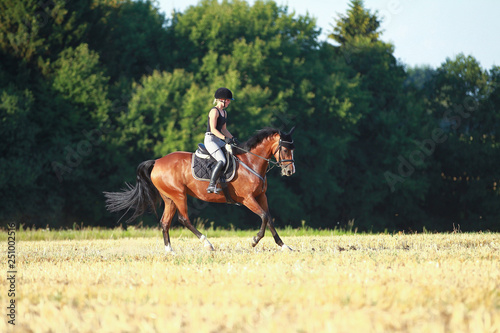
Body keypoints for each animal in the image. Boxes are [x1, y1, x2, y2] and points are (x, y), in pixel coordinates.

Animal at [103, 126, 294, 252]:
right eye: (285, 149)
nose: (290, 171)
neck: (251, 162)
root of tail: (157, 162)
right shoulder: (247, 198)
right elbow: (263, 216)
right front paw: (254, 240)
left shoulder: (261, 196)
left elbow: (269, 218)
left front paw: (284, 245)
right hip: (179, 195)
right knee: (184, 219)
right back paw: (207, 243)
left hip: (169, 198)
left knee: (165, 222)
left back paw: (169, 251)